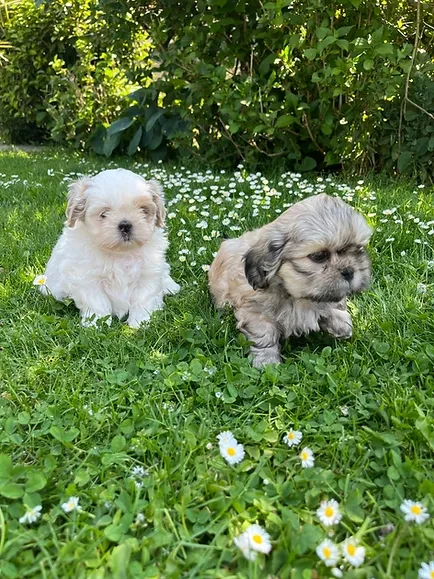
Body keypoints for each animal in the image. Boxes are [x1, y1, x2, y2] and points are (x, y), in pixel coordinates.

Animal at [41, 170, 181, 328]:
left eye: (143, 210)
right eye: (104, 214)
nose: (125, 225)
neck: (120, 253)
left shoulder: (148, 274)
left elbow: (143, 300)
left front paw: (139, 323)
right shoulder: (87, 278)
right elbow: (96, 302)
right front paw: (95, 324)